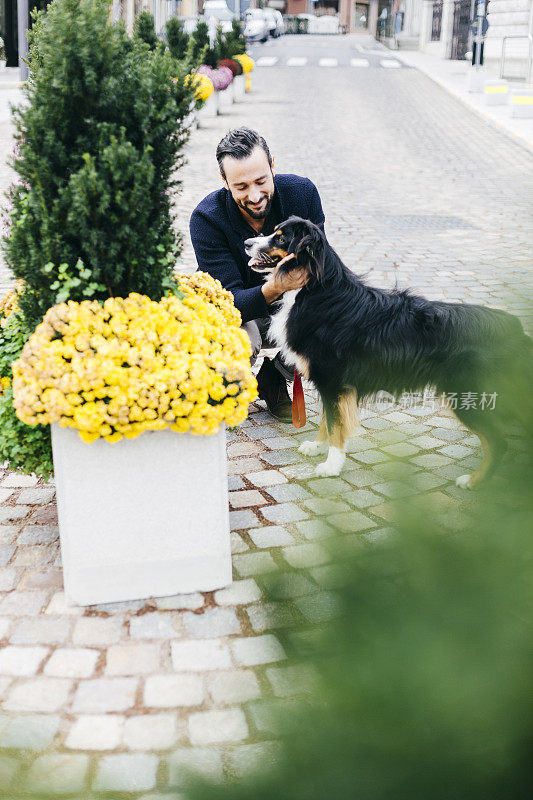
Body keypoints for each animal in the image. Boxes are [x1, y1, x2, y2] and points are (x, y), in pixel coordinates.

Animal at [245, 216, 532, 484]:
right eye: (273, 231)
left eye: (281, 238)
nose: (247, 243)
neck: (315, 289)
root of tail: (516, 331)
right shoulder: (333, 384)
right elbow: (328, 421)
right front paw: (317, 448)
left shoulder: (332, 381)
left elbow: (336, 425)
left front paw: (331, 466)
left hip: (467, 394)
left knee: (497, 441)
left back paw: (474, 482)